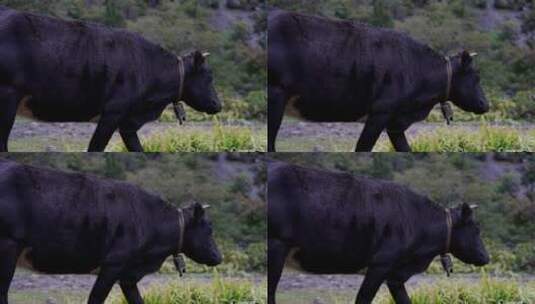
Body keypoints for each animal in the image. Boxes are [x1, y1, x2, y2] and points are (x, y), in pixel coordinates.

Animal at [0, 6, 222, 154]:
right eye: (208, 76)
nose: (218, 104)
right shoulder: (113, 111)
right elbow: (95, 147)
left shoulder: (127, 122)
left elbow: (137, 149)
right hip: (8, 96)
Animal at [0, 159, 222, 304]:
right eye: (209, 228)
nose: (219, 257)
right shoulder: (113, 263)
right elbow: (95, 298)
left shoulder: (128, 275)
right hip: (9, 245)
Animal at [268, 9, 490, 152]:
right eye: (476, 77)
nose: (485, 104)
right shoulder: (381, 111)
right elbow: (363, 147)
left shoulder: (395, 122)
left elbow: (404, 149)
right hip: (276, 92)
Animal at [270, 163, 492, 304]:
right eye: (476, 229)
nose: (486, 257)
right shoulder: (381, 264)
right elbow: (362, 299)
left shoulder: (395, 276)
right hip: (277, 245)